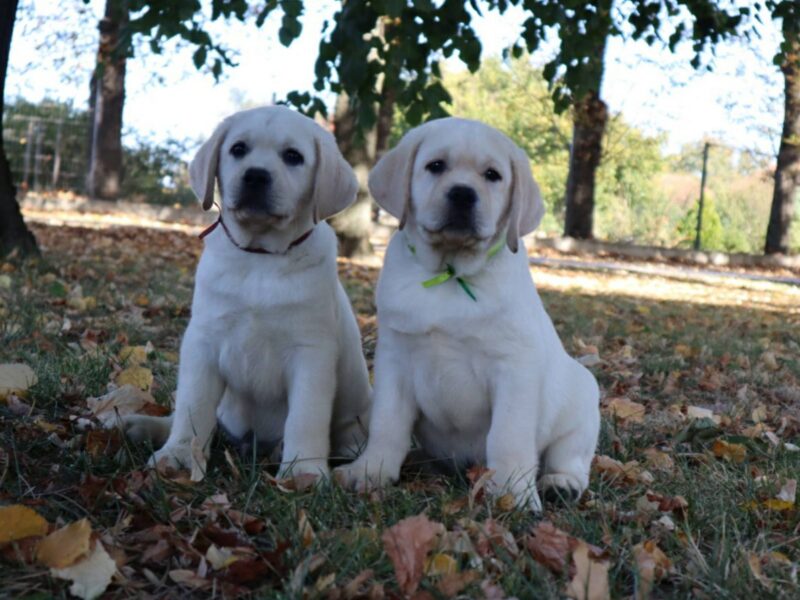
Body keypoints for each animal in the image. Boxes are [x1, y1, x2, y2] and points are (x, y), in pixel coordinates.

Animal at [122, 104, 372, 478]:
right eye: (238, 149)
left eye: (293, 156)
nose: (255, 176)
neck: (260, 257)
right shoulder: (203, 340)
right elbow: (193, 405)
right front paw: (179, 455)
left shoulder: (311, 352)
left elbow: (305, 417)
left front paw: (303, 472)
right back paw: (138, 425)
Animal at [334, 117, 596, 510]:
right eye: (436, 166)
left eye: (492, 175)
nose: (462, 194)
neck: (449, 273)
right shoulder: (395, 359)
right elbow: (387, 423)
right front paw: (371, 470)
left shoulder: (514, 368)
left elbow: (508, 435)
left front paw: (513, 494)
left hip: (583, 400)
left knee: (571, 457)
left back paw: (560, 484)